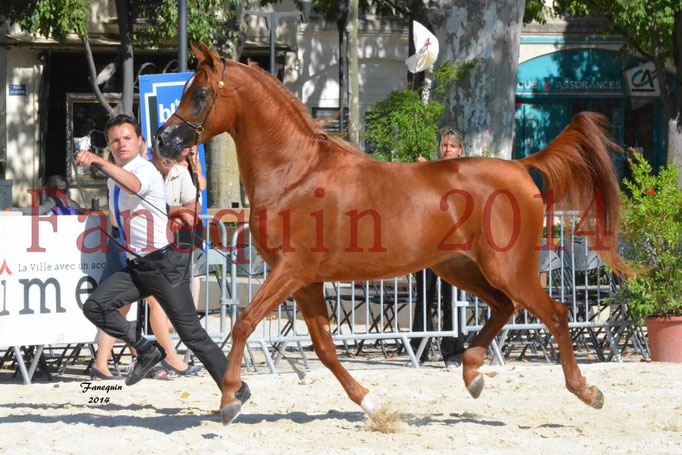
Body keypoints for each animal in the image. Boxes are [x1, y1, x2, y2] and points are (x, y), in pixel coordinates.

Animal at [157, 42, 624, 424]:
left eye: (200, 94)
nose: (163, 140)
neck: (297, 173)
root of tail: (520, 168)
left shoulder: (291, 271)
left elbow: (244, 323)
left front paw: (229, 400)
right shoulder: (306, 282)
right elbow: (324, 348)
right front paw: (371, 403)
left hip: (509, 269)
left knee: (556, 314)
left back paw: (587, 391)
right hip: (459, 269)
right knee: (503, 308)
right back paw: (472, 374)